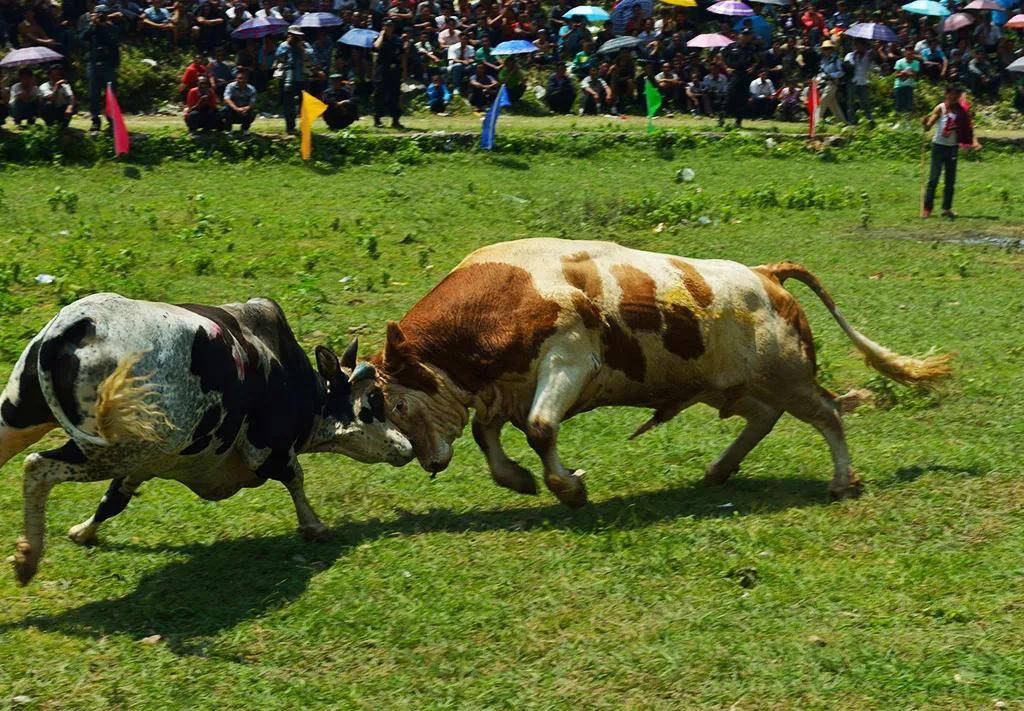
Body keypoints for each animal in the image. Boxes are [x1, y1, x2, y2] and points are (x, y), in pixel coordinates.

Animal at [2, 293, 415, 586]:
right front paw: (314, 526)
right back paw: (28, 558)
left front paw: (83, 531)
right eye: (372, 402)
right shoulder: (266, 447)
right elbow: (294, 478)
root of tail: (78, 324)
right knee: (37, 467)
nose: (407, 447)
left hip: (21, 417)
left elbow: (114, 501)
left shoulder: (146, 465)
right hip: (105, 449)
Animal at [354, 242, 950, 510]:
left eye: (398, 404)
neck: (507, 291)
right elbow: (488, 437)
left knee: (827, 413)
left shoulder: (568, 359)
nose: (428, 463)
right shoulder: (501, 388)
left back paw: (841, 480)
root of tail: (765, 275)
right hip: (730, 386)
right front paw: (520, 479)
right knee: (762, 417)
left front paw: (570, 488)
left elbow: (542, 428)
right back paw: (719, 470)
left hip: (790, 374)